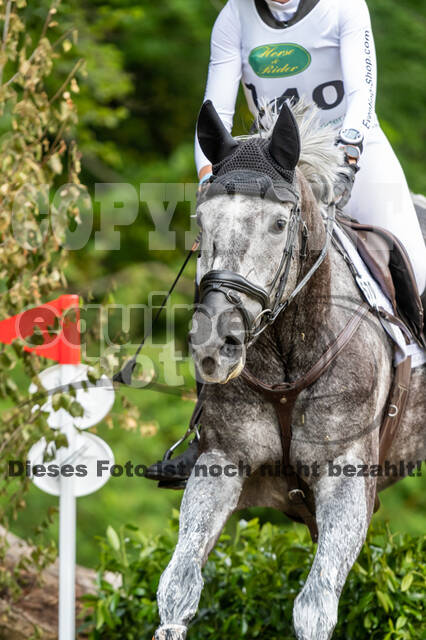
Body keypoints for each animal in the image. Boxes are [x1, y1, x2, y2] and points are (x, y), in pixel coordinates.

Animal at [153, 100, 426, 640]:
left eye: (279, 224)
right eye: (201, 220)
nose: (215, 345)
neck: (286, 350)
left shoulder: (346, 479)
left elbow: (314, 606)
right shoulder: (221, 463)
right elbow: (178, 584)